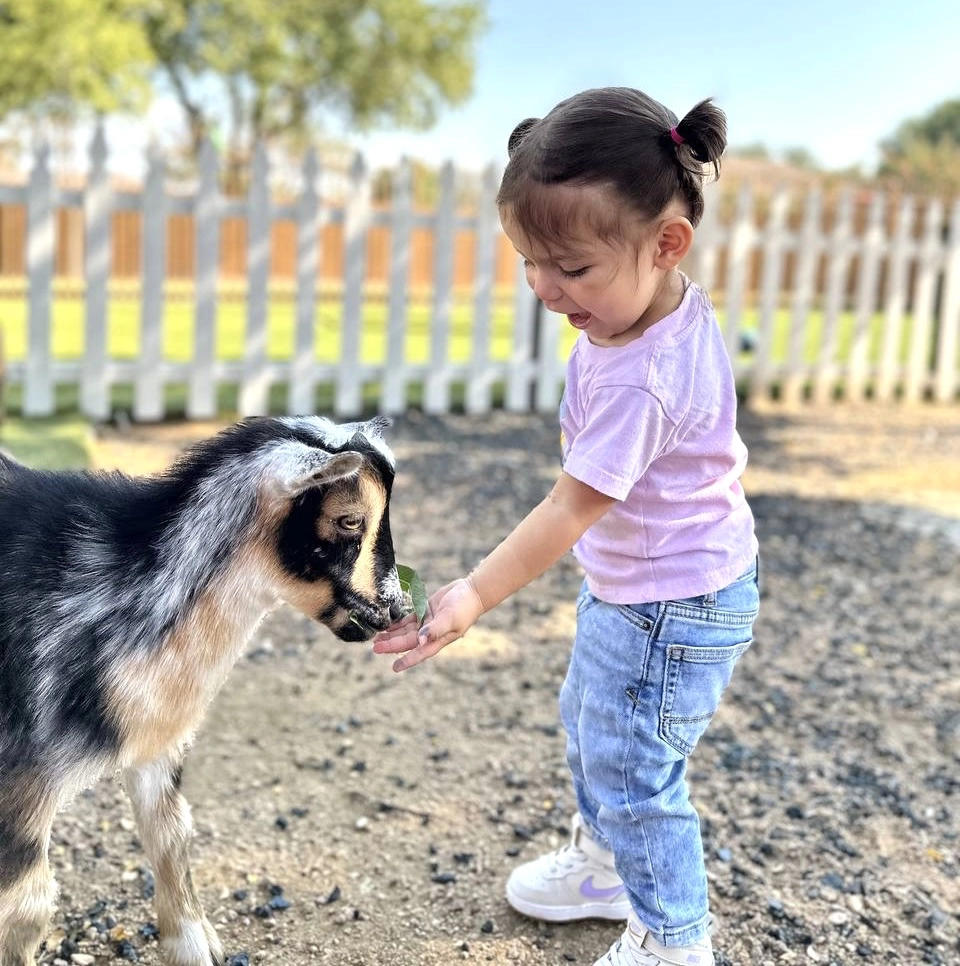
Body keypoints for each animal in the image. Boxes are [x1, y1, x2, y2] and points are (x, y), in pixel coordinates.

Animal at [0, 415, 407, 966]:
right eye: (348, 521)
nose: (396, 609)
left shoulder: (156, 742)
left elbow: (173, 833)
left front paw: (192, 945)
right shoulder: (21, 773)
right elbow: (28, 905)